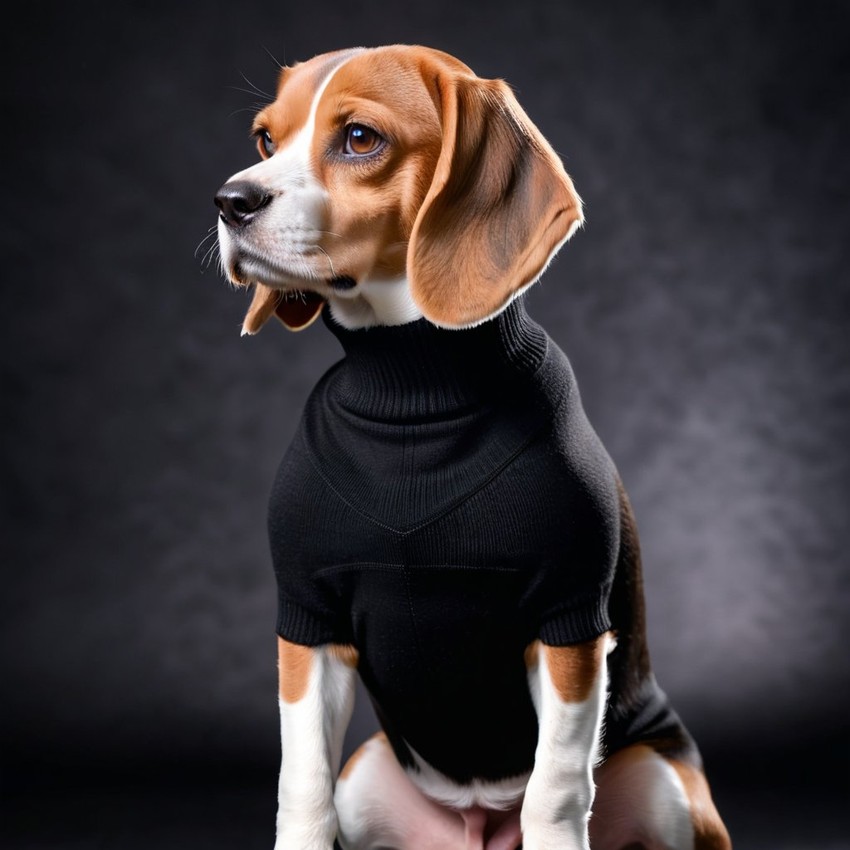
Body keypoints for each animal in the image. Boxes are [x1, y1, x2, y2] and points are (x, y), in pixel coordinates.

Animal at [214, 44, 728, 848]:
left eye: (359, 138)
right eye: (266, 140)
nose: (229, 201)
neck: (416, 395)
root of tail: (480, 826)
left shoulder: (568, 625)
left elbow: (555, 786)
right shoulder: (307, 622)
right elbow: (301, 786)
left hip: (663, 780)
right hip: (368, 772)